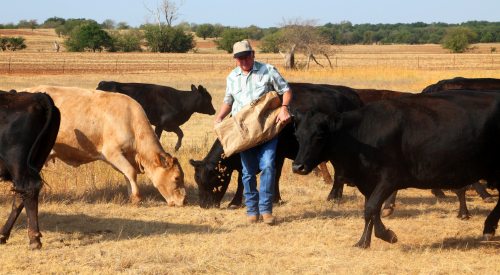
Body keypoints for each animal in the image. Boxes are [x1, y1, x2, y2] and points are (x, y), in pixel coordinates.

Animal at [0, 92, 60, 250]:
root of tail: (37, 96)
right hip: (37, 158)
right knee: (22, 195)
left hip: (17, 161)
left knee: (28, 189)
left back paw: (34, 239)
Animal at [24, 86, 187, 207]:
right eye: (177, 178)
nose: (184, 201)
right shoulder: (112, 152)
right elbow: (130, 171)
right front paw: (137, 197)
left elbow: (128, 174)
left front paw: (131, 196)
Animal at [189, 83, 362, 208]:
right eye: (197, 181)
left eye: (211, 180)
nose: (203, 205)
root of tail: (353, 96)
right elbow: (243, 179)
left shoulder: (277, 154)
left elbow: (273, 176)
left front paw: (274, 199)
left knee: (339, 172)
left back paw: (333, 196)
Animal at [292, 90, 500, 248]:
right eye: (297, 135)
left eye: (319, 135)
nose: (297, 166)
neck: (362, 135)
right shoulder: (368, 182)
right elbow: (371, 210)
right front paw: (364, 241)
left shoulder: (389, 179)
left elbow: (371, 208)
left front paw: (386, 235)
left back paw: (488, 228)